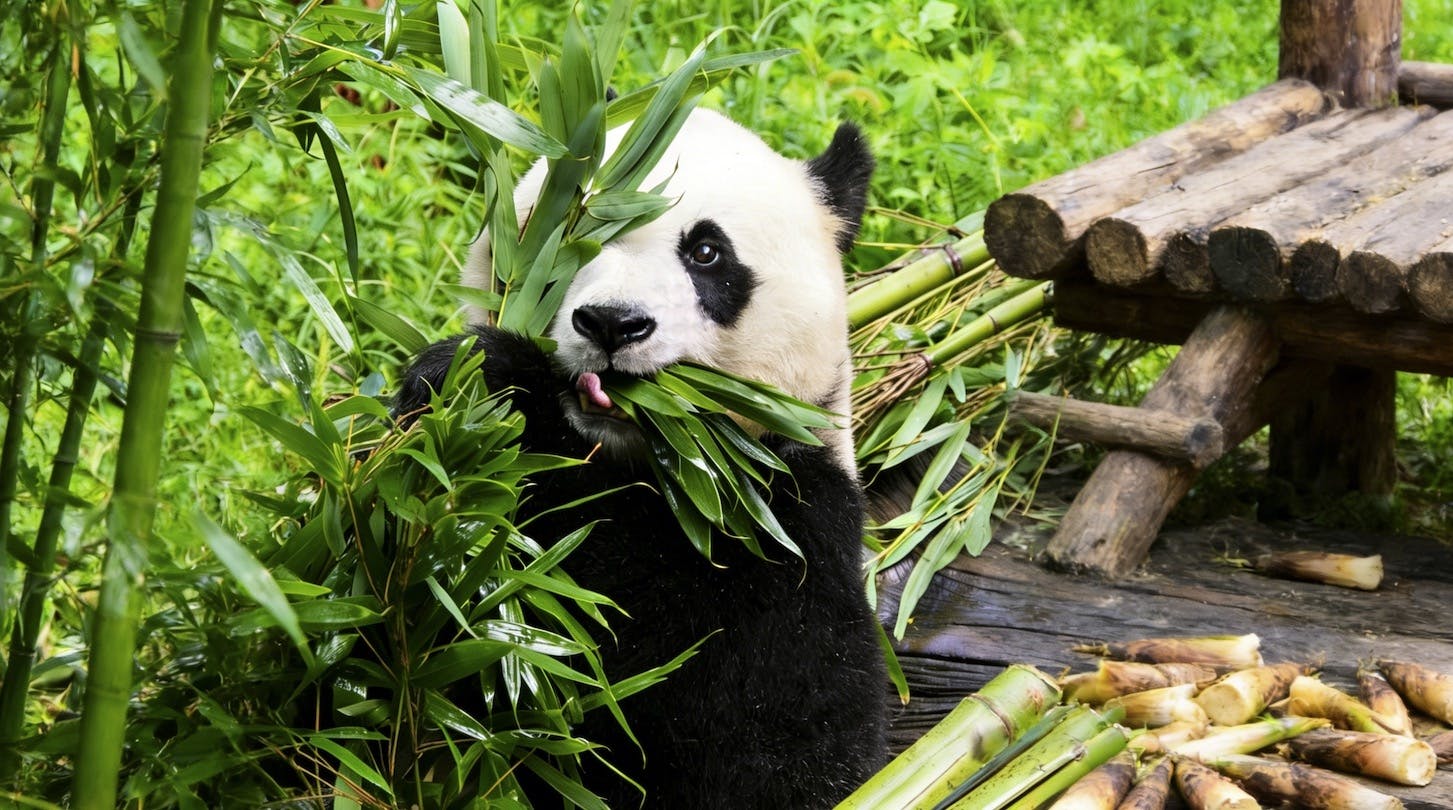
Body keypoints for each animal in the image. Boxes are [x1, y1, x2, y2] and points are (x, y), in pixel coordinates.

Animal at [396, 109, 887, 808]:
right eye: (575, 233)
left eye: (706, 253)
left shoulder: (788, 526)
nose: (611, 324)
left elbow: (719, 695)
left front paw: (502, 380)